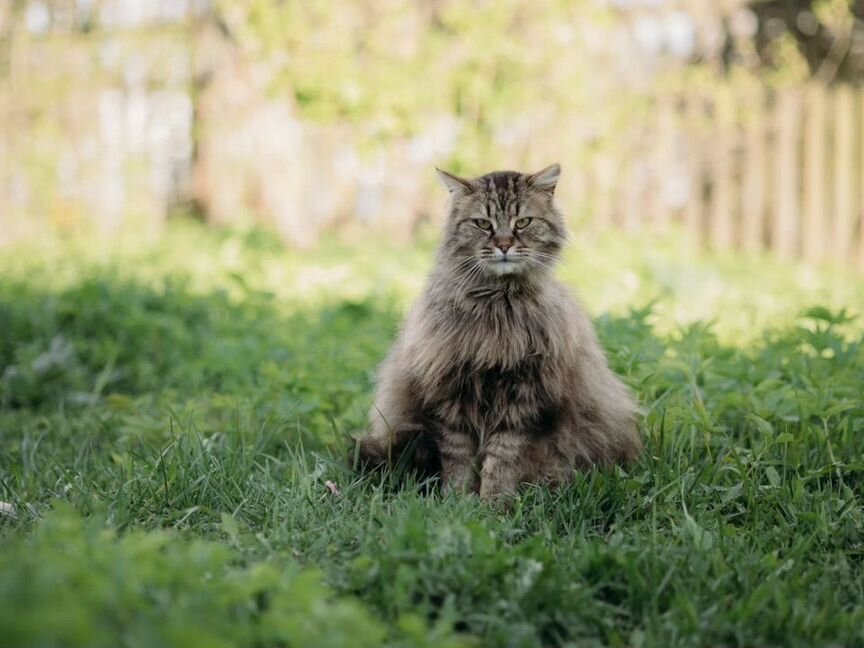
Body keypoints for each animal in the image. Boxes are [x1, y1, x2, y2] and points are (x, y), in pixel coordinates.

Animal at [352, 165, 640, 498]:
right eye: (482, 224)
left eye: (523, 222)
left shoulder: (523, 397)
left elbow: (502, 459)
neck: (497, 307)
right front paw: (457, 499)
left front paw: (493, 501)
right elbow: (458, 458)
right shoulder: (451, 393)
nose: (504, 245)